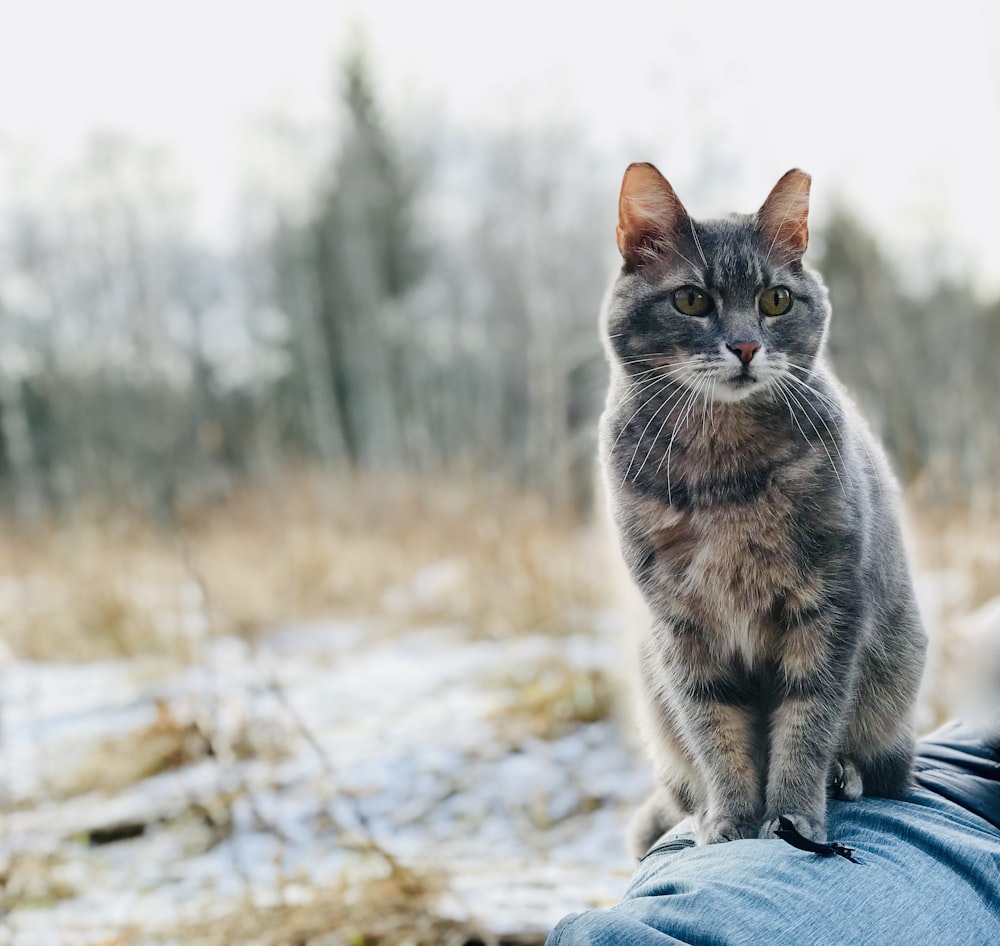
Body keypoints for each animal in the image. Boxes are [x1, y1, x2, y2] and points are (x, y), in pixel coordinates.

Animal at [596, 164, 924, 856]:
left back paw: (847, 775)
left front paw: (793, 817)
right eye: (691, 300)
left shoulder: (828, 604)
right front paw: (731, 820)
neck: (725, 473)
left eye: (776, 300)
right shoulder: (683, 627)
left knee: (887, 765)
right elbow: (714, 730)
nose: (745, 346)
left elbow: (807, 720)